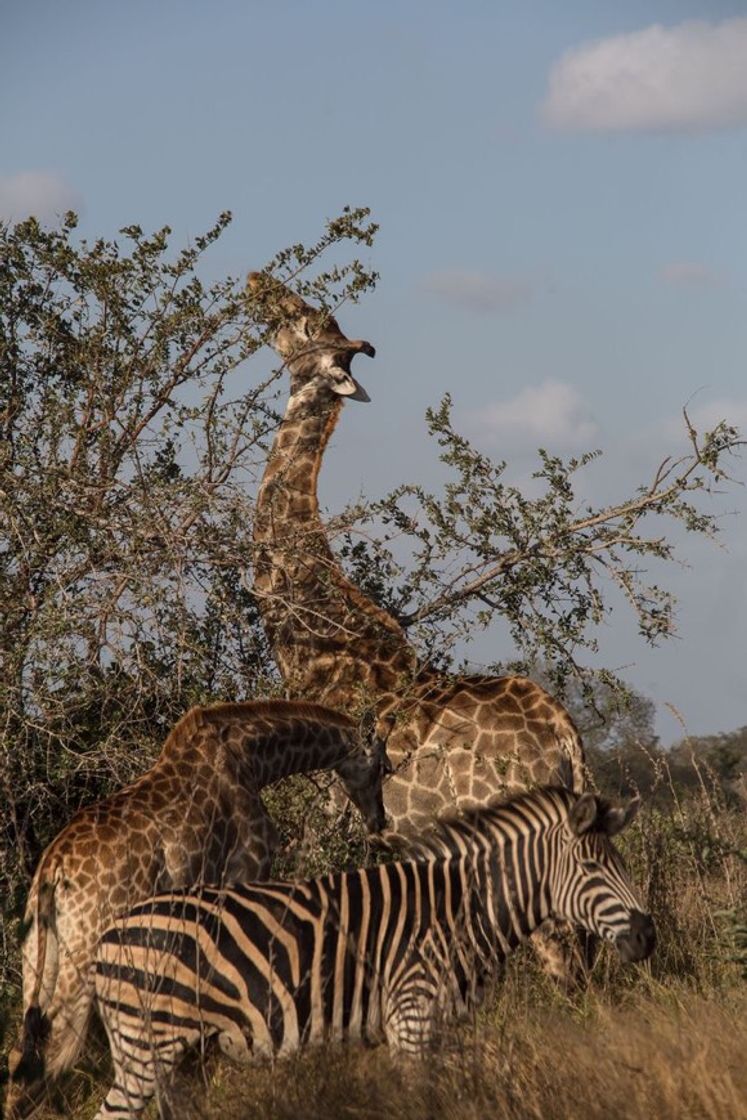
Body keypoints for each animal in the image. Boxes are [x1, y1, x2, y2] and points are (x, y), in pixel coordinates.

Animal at [4, 698, 391, 1120]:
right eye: (383, 767)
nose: (380, 820)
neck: (253, 758)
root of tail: (51, 869)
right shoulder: (246, 866)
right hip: (83, 958)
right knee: (55, 1052)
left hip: (38, 957)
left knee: (21, 1054)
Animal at [89, 788, 654, 1120]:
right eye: (592, 869)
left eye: (622, 864)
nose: (647, 936)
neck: (463, 910)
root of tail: (107, 932)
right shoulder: (411, 1017)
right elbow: (423, 1105)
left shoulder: (441, 1027)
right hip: (147, 1047)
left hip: (179, 1057)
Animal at [248, 271, 591, 981]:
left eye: (305, 322)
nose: (255, 283)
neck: (314, 636)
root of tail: (565, 738)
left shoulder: (326, 816)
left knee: (564, 957)